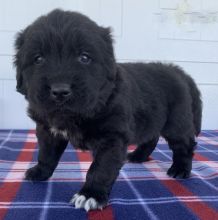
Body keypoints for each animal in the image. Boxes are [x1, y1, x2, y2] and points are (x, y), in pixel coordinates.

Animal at [14, 9, 203, 211]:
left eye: (84, 57)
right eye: (38, 59)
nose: (60, 91)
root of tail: (178, 71)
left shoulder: (112, 137)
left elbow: (100, 168)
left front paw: (91, 194)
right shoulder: (48, 130)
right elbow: (46, 153)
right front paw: (40, 171)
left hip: (177, 122)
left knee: (184, 145)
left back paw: (180, 169)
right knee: (150, 137)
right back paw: (138, 156)